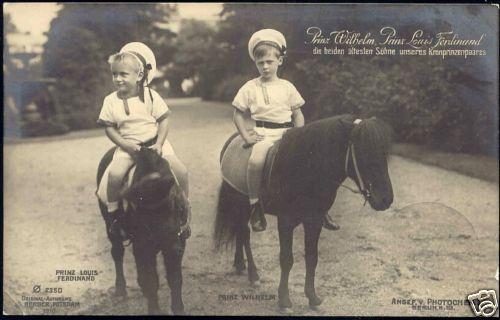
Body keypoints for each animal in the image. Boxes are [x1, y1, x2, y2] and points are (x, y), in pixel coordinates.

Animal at [96, 148, 188, 316]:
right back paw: (120, 289)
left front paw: (179, 309)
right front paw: (155, 310)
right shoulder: (142, 246)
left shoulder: (179, 240)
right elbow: (150, 279)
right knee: (117, 252)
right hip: (111, 228)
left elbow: (175, 277)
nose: (172, 247)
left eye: (174, 204)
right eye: (143, 214)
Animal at [215, 114, 394, 312]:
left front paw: (312, 297)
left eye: (384, 153)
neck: (306, 167)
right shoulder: (285, 221)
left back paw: (240, 265)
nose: (386, 199)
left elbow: (311, 257)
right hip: (240, 203)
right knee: (244, 233)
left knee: (240, 231)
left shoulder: (314, 220)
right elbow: (286, 259)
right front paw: (284, 301)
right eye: (363, 152)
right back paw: (253, 274)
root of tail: (234, 139)